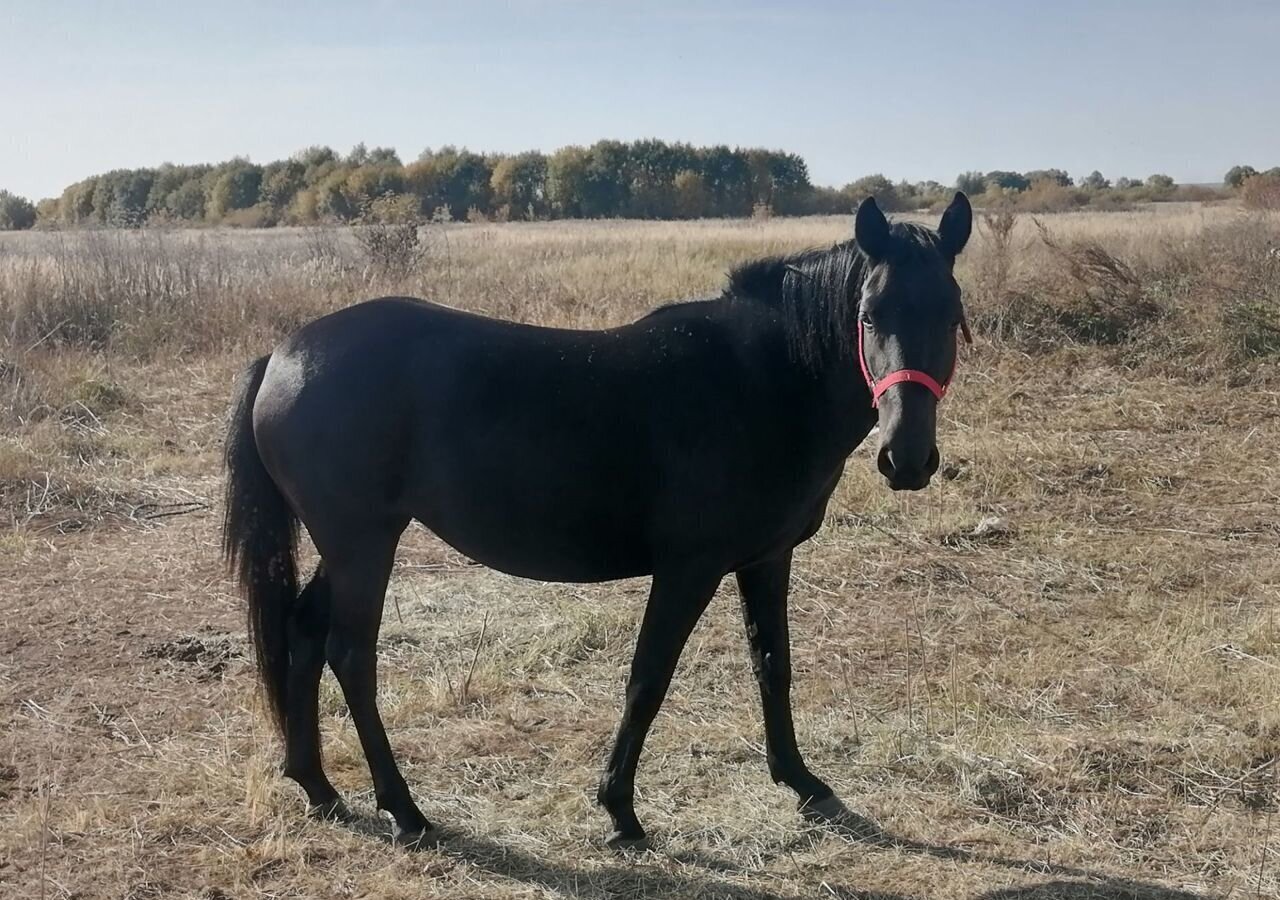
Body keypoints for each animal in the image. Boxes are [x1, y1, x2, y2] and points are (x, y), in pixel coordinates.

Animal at [225, 195, 972, 850]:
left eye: (952, 312)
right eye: (868, 315)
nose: (906, 459)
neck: (764, 380)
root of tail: (282, 357)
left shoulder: (767, 557)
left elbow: (772, 663)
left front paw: (802, 782)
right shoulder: (689, 568)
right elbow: (648, 678)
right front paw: (621, 811)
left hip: (348, 545)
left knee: (303, 632)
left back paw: (318, 787)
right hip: (363, 544)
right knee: (351, 655)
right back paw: (404, 810)